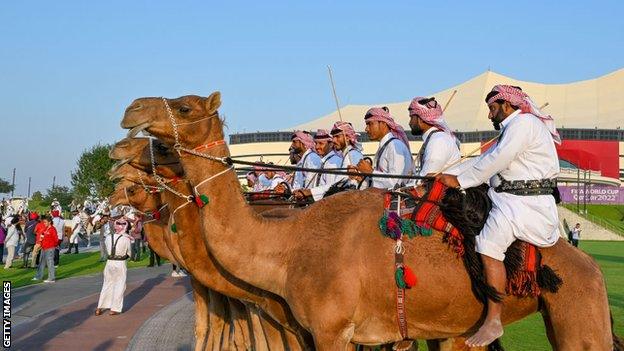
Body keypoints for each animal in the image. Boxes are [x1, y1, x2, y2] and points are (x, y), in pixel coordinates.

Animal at [118, 94, 620, 351]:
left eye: (184, 108)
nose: (130, 114)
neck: (287, 246)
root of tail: (590, 265)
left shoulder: (330, 331)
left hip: (579, 305)